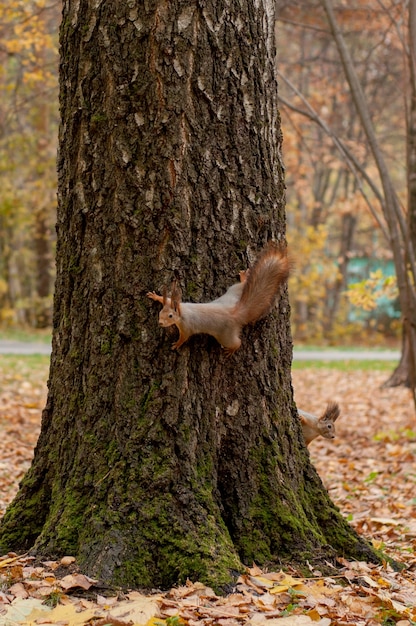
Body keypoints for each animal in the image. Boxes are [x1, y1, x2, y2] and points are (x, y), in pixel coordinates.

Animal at [147, 241, 290, 354]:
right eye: (160, 313)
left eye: (170, 316)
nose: (160, 323)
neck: (182, 313)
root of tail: (235, 313)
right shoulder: (179, 303)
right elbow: (167, 300)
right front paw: (155, 296)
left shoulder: (186, 327)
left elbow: (184, 337)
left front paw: (177, 344)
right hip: (233, 292)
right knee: (242, 285)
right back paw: (244, 277)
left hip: (225, 336)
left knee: (237, 342)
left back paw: (231, 350)